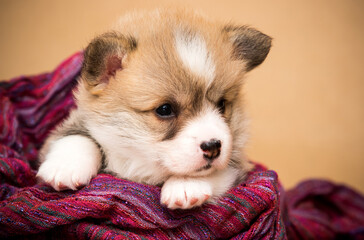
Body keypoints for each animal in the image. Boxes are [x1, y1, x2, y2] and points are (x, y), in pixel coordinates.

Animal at [37, 8, 272, 209]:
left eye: (222, 104)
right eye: (165, 109)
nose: (213, 146)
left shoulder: (237, 161)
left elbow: (213, 171)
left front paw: (185, 185)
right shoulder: (76, 121)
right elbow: (78, 136)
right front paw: (65, 167)